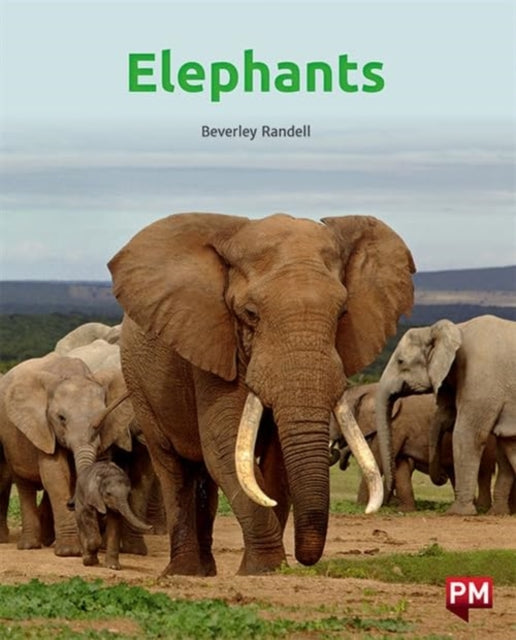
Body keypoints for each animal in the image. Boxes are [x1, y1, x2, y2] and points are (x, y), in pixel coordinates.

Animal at [0, 353, 132, 554]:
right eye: (61, 418)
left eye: (102, 418)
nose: (71, 504)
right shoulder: (45, 429)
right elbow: (56, 474)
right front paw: (70, 552)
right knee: (24, 484)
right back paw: (30, 546)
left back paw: (45, 540)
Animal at [108, 212, 415, 575]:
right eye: (250, 314)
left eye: (342, 313)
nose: (303, 559)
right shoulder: (212, 345)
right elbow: (225, 446)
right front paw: (265, 569)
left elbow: (276, 461)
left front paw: (266, 569)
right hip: (139, 384)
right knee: (173, 467)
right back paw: (184, 572)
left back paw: (207, 571)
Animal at [329, 383, 496, 511]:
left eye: (337, 418)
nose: (336, 450)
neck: (370, 388)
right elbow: (399, 464)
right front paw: (405, 509)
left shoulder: (394, 425)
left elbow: (379, 460)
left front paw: (361, 506)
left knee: (483, 471)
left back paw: (481, 507)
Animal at [376, 315, 516, 515]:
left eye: (401, 361)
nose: (442, 476)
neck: (456, 329)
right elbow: (506, 444)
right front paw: (496, 514)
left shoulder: (481, 381)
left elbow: (467, 434)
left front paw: (458, 512)